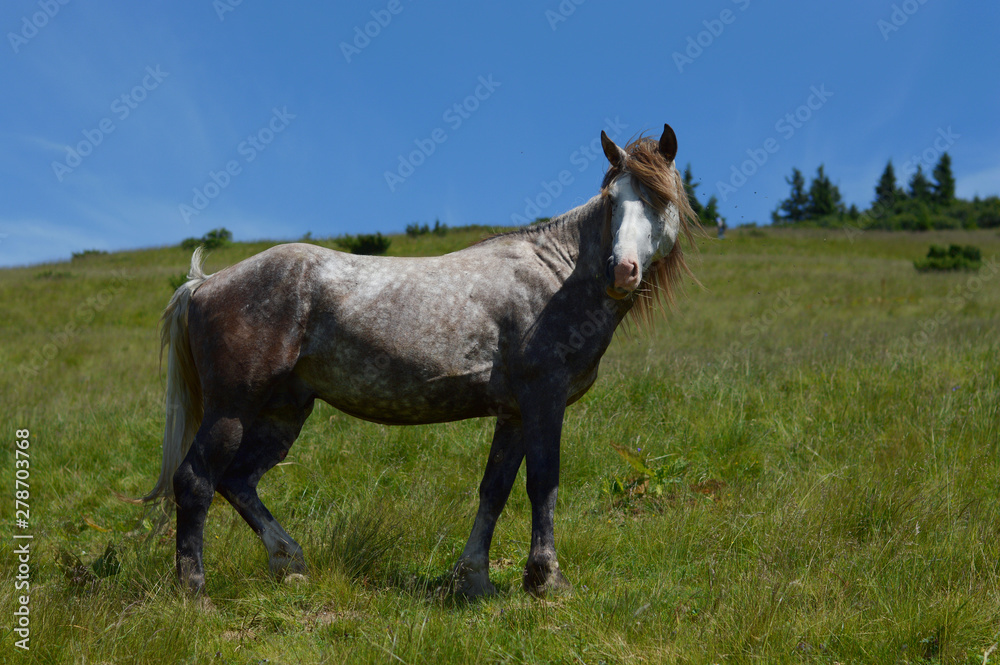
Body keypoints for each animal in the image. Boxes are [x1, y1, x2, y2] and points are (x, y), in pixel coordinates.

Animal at [140, 124, 699, 598]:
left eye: (659, 199)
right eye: (613, 200)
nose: (622, 270)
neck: (556, 275)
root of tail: (203, 284)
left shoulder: (515, 413)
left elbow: (494, 490)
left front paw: (473, 579)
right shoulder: (545, 399)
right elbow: (544, 483)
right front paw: (547, 581)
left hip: (283, 413)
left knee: (238, 481)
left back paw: (290, 563)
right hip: (232, 409)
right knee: (196, 482)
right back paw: (195, 593)